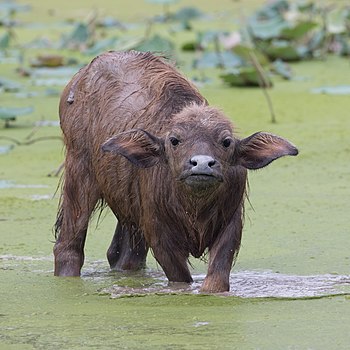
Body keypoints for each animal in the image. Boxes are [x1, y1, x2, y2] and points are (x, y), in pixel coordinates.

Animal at [55, 50, 298, 292]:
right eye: (174, 140)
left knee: (125, 255)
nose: (202, 163)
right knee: (68, 244)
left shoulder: (231, 225)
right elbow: (180, 276)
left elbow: (217, 277)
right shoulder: (159, 234)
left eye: (226, 141)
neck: (194, 208)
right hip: (78, 170)